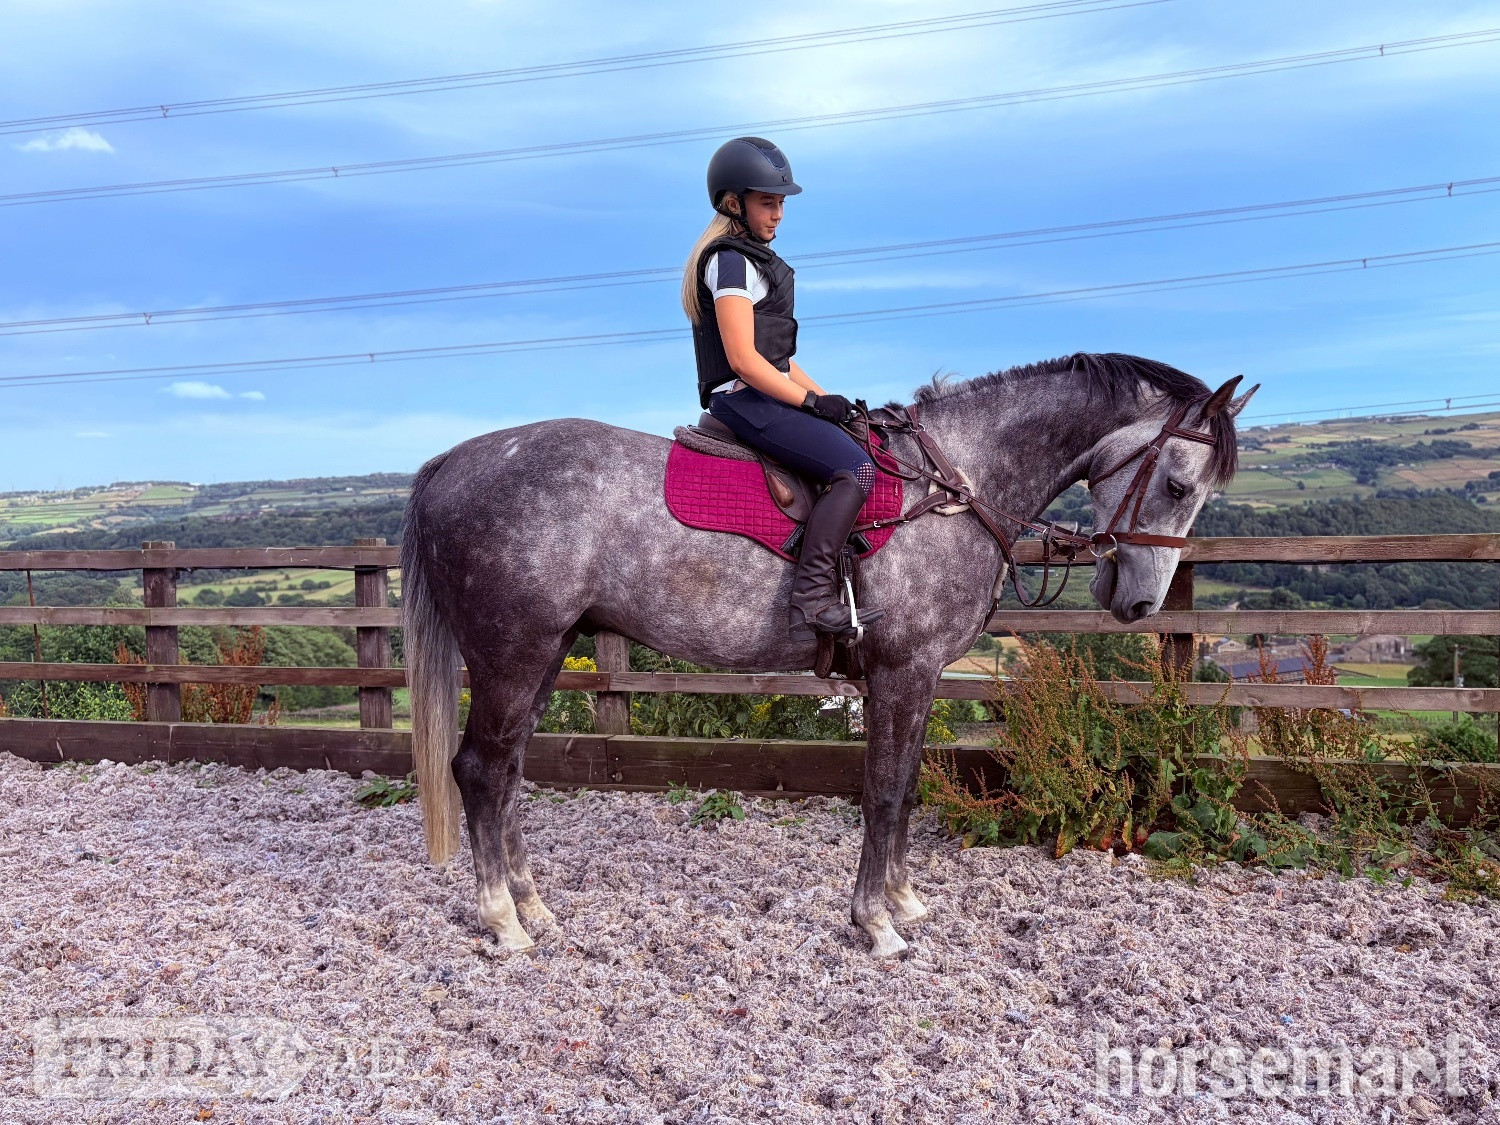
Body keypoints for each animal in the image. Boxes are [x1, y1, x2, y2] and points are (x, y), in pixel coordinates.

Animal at [400, 352, 1255, 958]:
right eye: (1177, 485)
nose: (1138, 601)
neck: (953, 489)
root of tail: (449, 463)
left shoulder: (922, 676)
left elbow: (904, 790)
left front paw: (905, 900)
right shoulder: (900, 672)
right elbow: (881, 791)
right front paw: (875, 923)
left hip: (544, 653)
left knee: (509, 769)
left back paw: (535, 905)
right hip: (513, 655)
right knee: (481, 770)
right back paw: (503, 920)